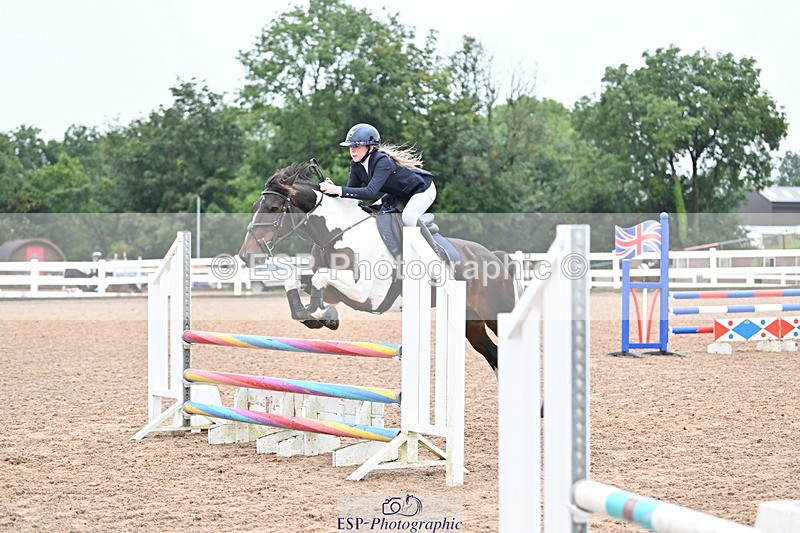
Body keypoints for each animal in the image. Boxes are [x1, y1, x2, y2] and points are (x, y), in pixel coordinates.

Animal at [238, 162, 519, 374]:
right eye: (255, 207)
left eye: (274, 208)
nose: (246, 256)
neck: (336, 233)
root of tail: (494, 257)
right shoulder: (337, 290)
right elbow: (298, 278)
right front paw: (312, 314)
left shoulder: (366, 294)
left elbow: (320, 279)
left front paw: (322, 314)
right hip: (471, 321)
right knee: (494, 356)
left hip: (496, 312)